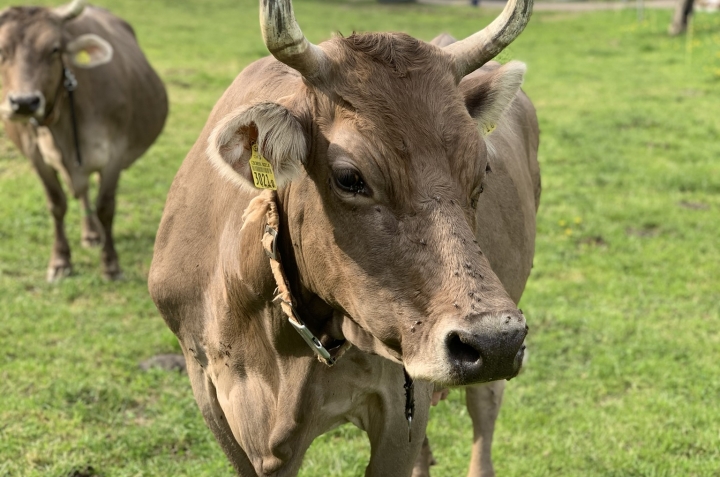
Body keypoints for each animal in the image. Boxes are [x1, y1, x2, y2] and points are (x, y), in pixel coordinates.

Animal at [0, 0, 167, 281]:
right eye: (1, 50)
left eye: (54, 49)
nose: (24, 102)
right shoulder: (36, 156)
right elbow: (56, 204)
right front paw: (60, 260)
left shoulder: (114, 154)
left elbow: (105, 207)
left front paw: (111, 264)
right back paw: (90, 233)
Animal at [149, 0, 539, 474]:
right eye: (350, 178)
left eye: (482, 168)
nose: (494, 339)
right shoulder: (209, 389)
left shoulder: (401, 401)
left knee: (484, 407)